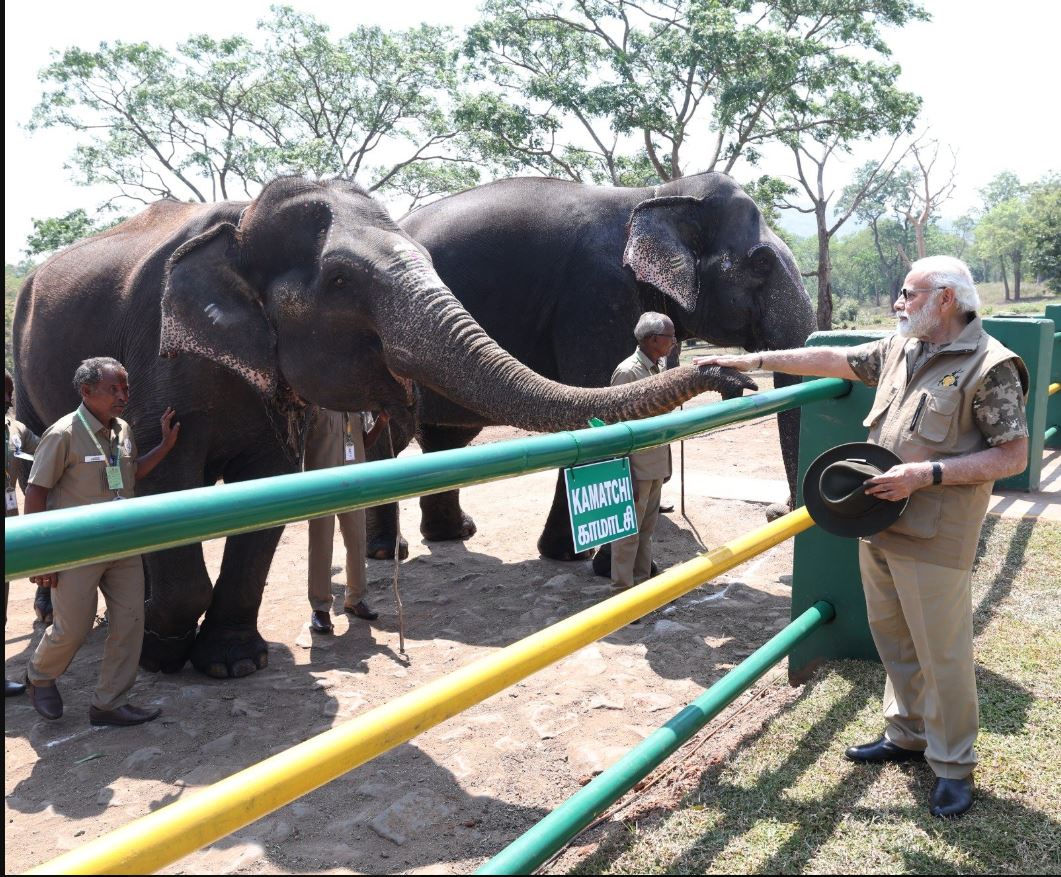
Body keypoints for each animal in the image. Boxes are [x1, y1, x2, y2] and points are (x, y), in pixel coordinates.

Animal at [12, 172, 751, 678]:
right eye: (340, 282)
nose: (732, 375)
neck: (241, 221)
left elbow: (266, 497)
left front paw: (231, 663)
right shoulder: (158, 360)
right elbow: (167, 481)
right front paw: (165, 652)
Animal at [364, 171, 819, 564]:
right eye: (761, 263)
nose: (776, 512)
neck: (656, 193)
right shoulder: (597, 295)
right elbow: (596, 400)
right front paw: (575, 557)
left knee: (449, 434)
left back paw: (453, 533)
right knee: (391, 436)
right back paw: (388, 552)